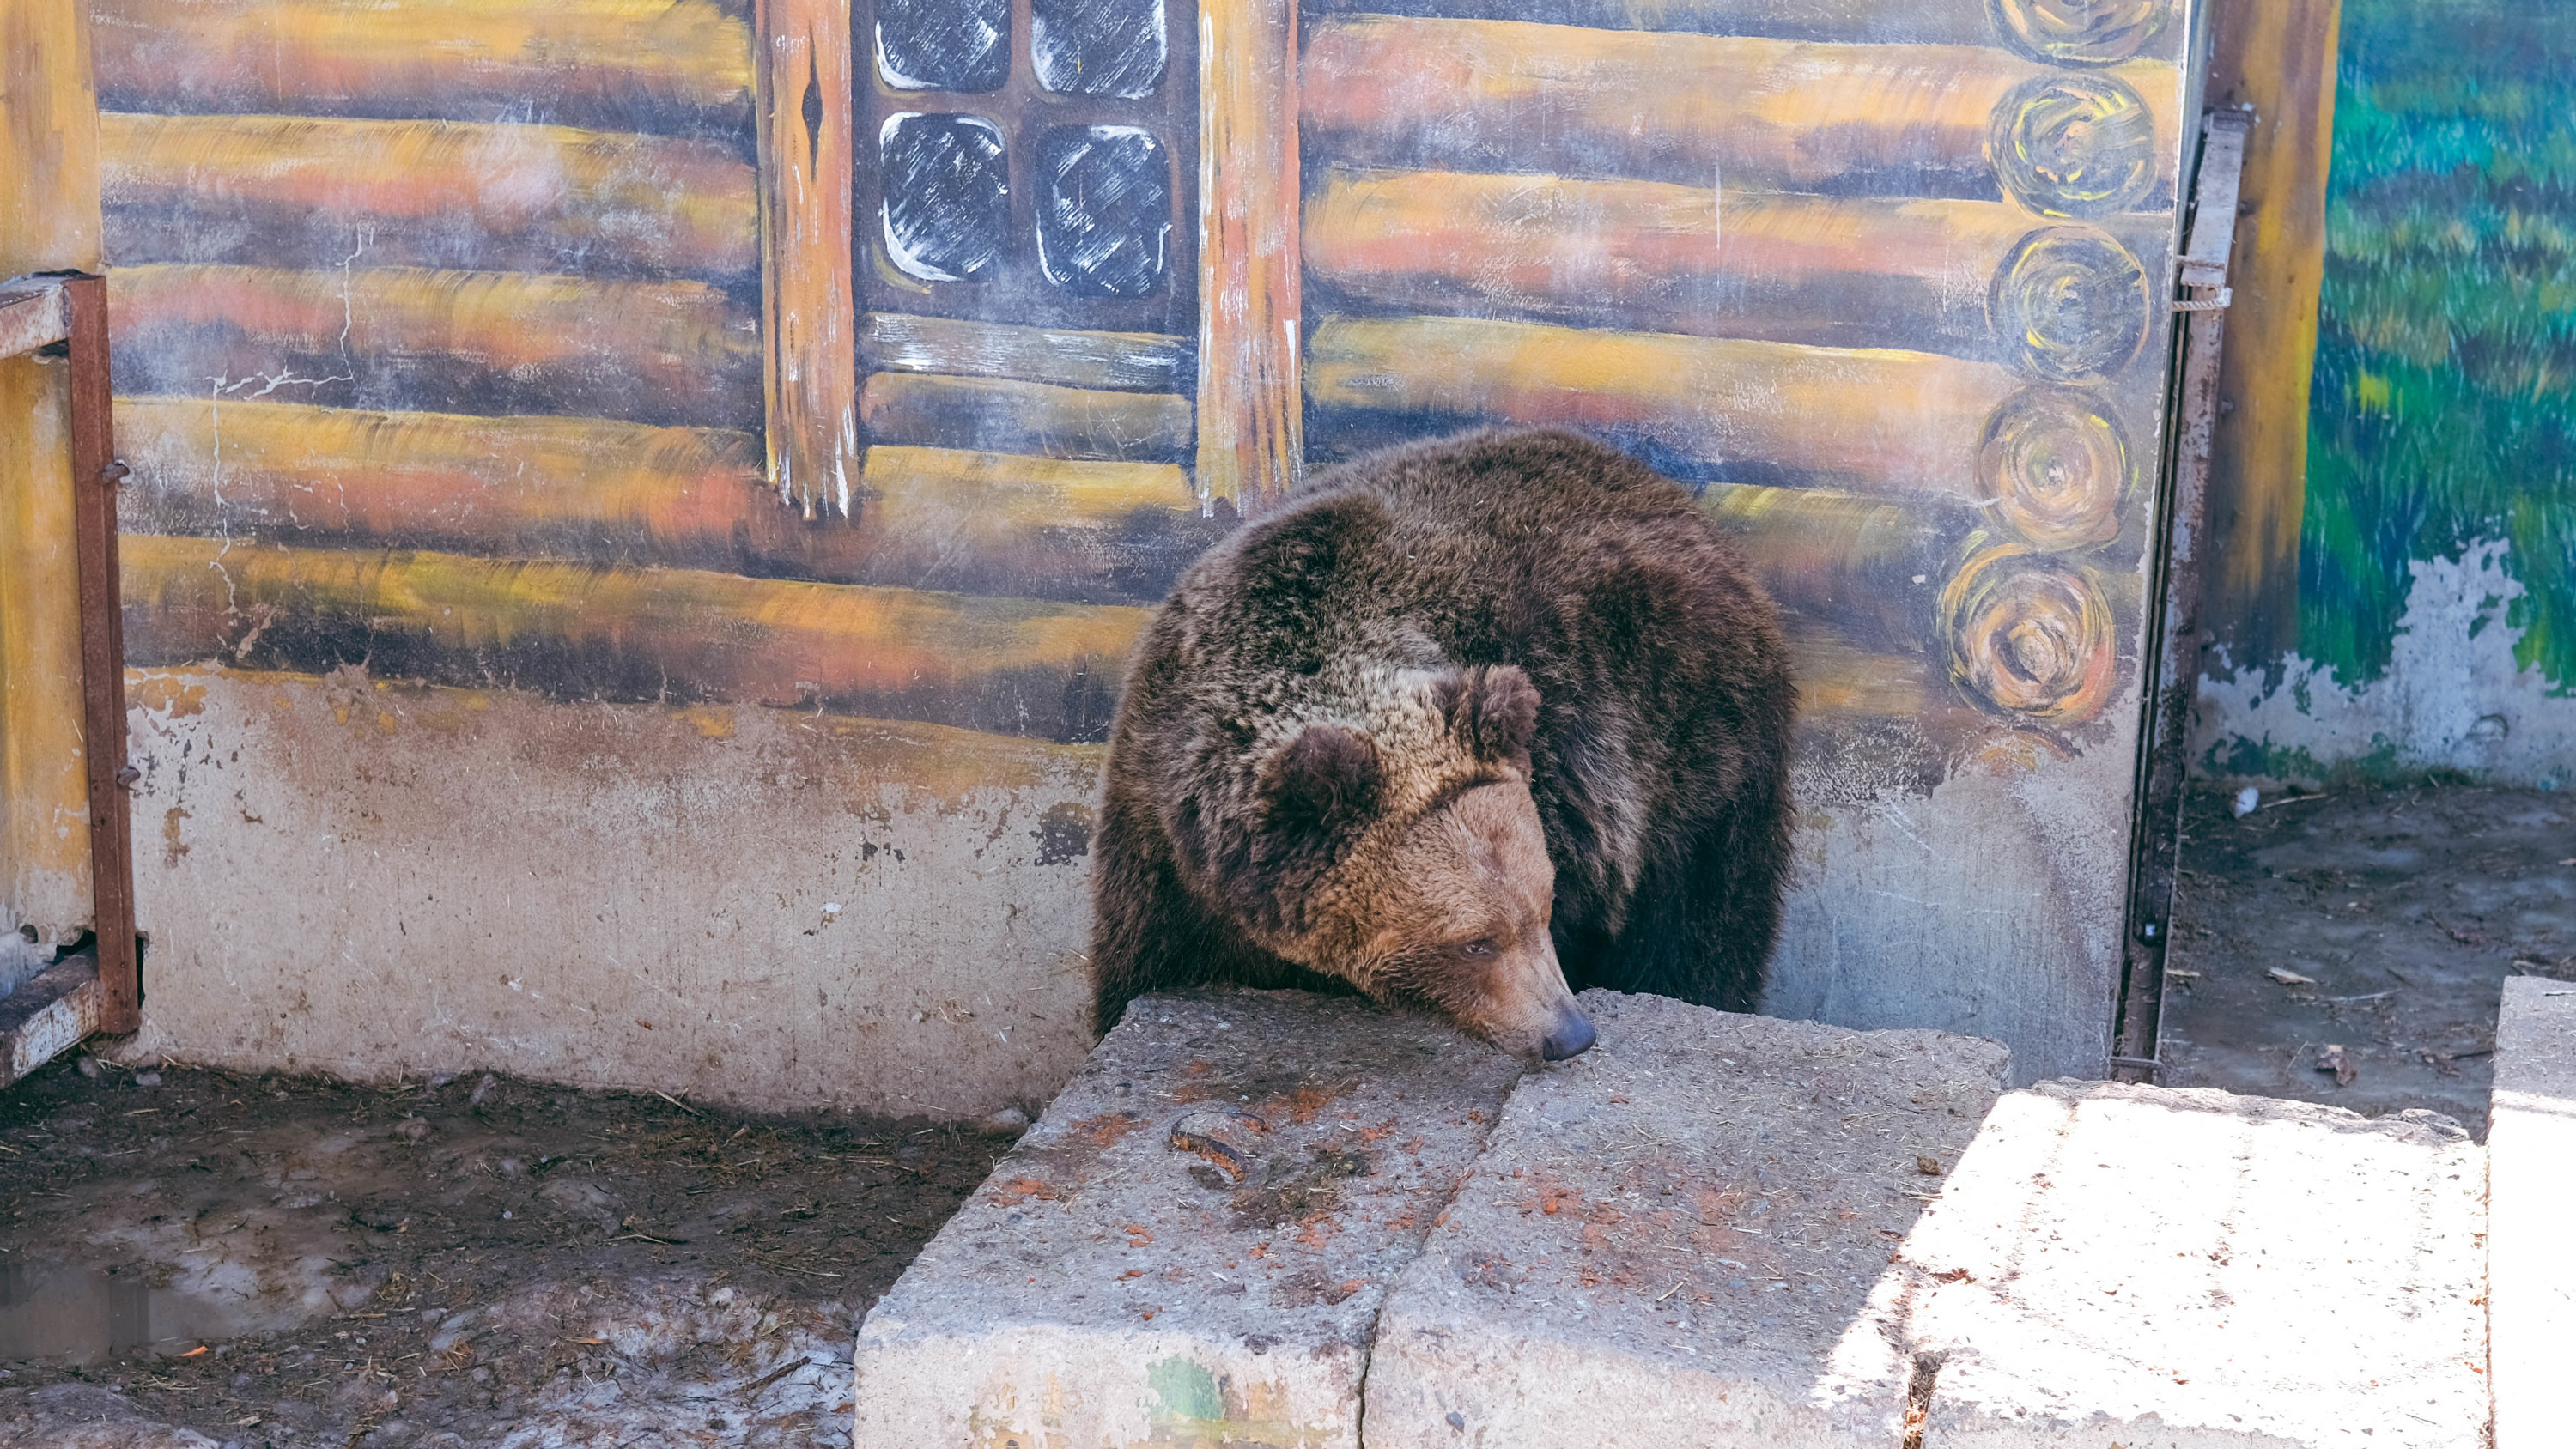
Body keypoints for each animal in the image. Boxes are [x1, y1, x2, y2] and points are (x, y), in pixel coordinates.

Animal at [1087, 424, 1793, 1060]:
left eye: (1544, 906)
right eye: (1474, 941)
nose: (1569, 1035)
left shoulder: (1572, 766)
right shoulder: (1164, 840)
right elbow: (1143, 965)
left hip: (1701, 755)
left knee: (1702, 924)